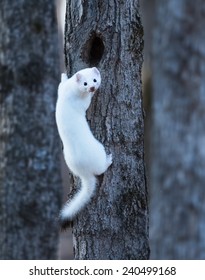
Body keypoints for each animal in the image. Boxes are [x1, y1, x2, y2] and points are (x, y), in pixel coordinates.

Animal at [55, 68, 112, 228]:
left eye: (94, 80)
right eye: (85, 83)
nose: (92, 88)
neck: (70, 91)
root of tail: (84, 171)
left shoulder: (61, 90)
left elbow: (60, 85)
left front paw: (63, 75)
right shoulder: (80, 103)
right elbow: (86, 104)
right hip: (99, 149)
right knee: (100, 169)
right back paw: (109, 159)